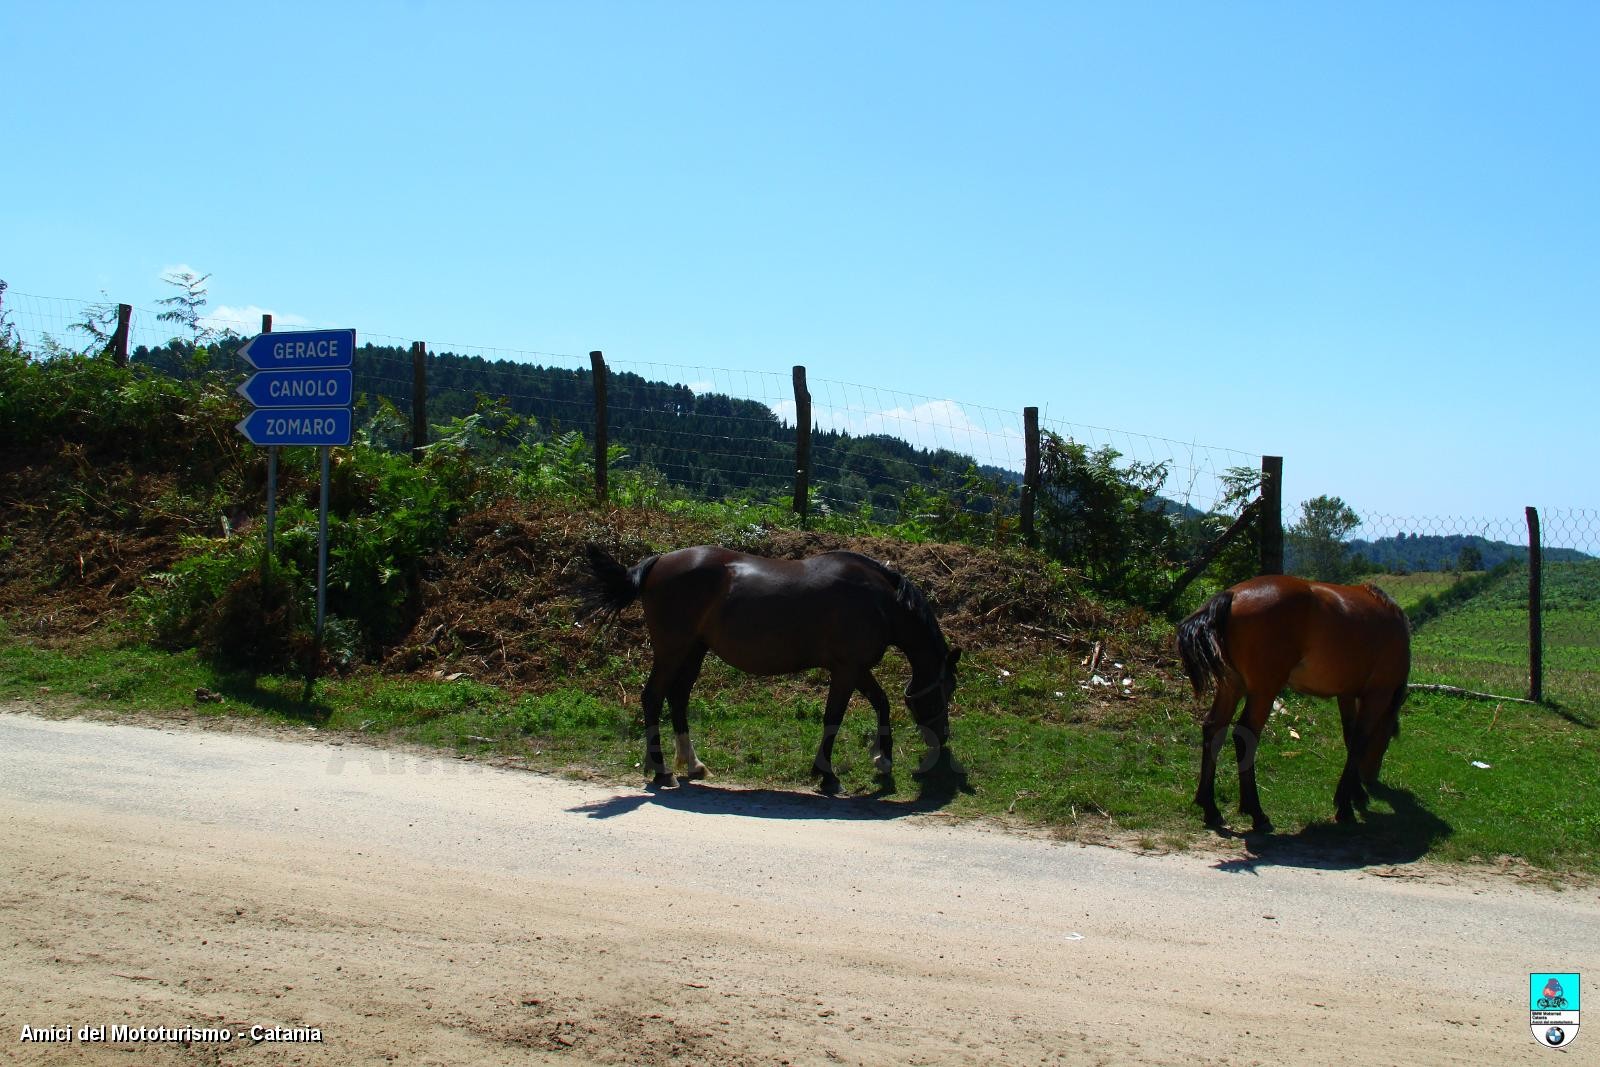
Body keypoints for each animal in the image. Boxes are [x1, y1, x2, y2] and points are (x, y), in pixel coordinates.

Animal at [585, 547, 966, 796]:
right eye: (946, 689)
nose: (943, 736)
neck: (878, 600)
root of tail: (658, 562)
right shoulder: (847, 669)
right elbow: (834, 718)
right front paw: (827, 774)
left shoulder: (856, 669)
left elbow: (882, 703)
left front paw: (882, 760)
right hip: (672, 650)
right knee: (652, 697)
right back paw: (662, 770)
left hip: (694, 650)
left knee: (678, 698)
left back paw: (692, 764)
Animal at [1177, 575, 1414, 831]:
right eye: (1388, 738)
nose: (1371, 777)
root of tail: (1232, 595)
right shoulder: (1377, 695)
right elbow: (1359, 741)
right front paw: (1345, 805)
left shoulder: (1346, 694)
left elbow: (1350, 738)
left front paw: (1355, 793)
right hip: (1264, 690)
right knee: (1244, 735)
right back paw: (1256, 813)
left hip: (1232, 685)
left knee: (1214, 729)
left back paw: (1210, 808)